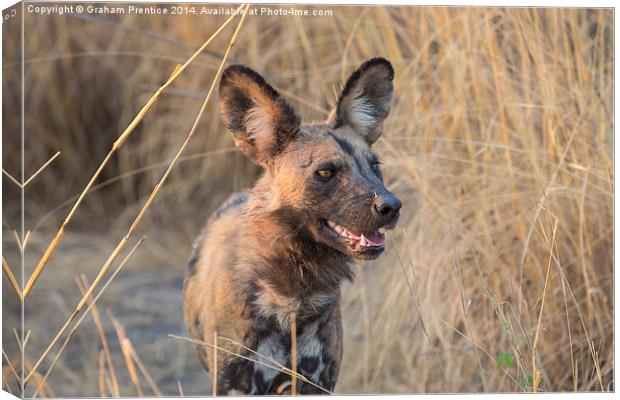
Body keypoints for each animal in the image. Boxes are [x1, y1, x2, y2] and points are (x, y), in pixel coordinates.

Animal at [183, 57, 402, 396]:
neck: (294, 294)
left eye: (374, 166)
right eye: (325, 172)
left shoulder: (317, 383)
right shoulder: (236, 384)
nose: (391, 206)